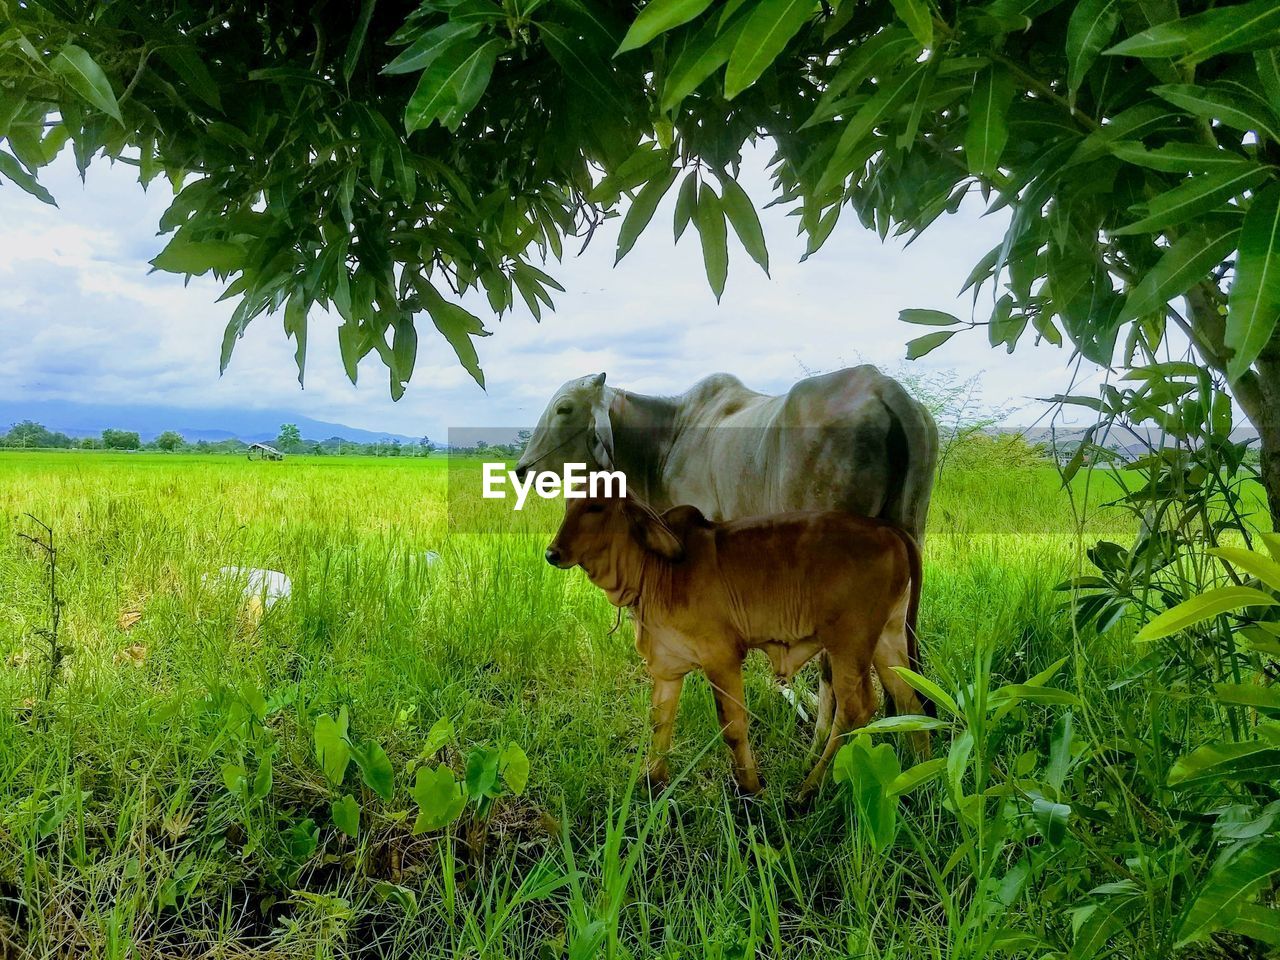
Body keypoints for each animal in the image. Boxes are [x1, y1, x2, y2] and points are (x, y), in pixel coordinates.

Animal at [545, 491, 926, 798]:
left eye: (596, 506)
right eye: (567, 505)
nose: (552, 553)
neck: (654, 570)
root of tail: (889, 529)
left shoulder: (721, 658)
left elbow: (732, 727)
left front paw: (750, 788)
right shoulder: (667, 667)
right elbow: (660, 722)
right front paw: (653, 783)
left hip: (849, 643)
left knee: (856, 709)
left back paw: (808, 790)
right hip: (887, 637)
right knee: (909, 699)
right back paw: (919, 774)